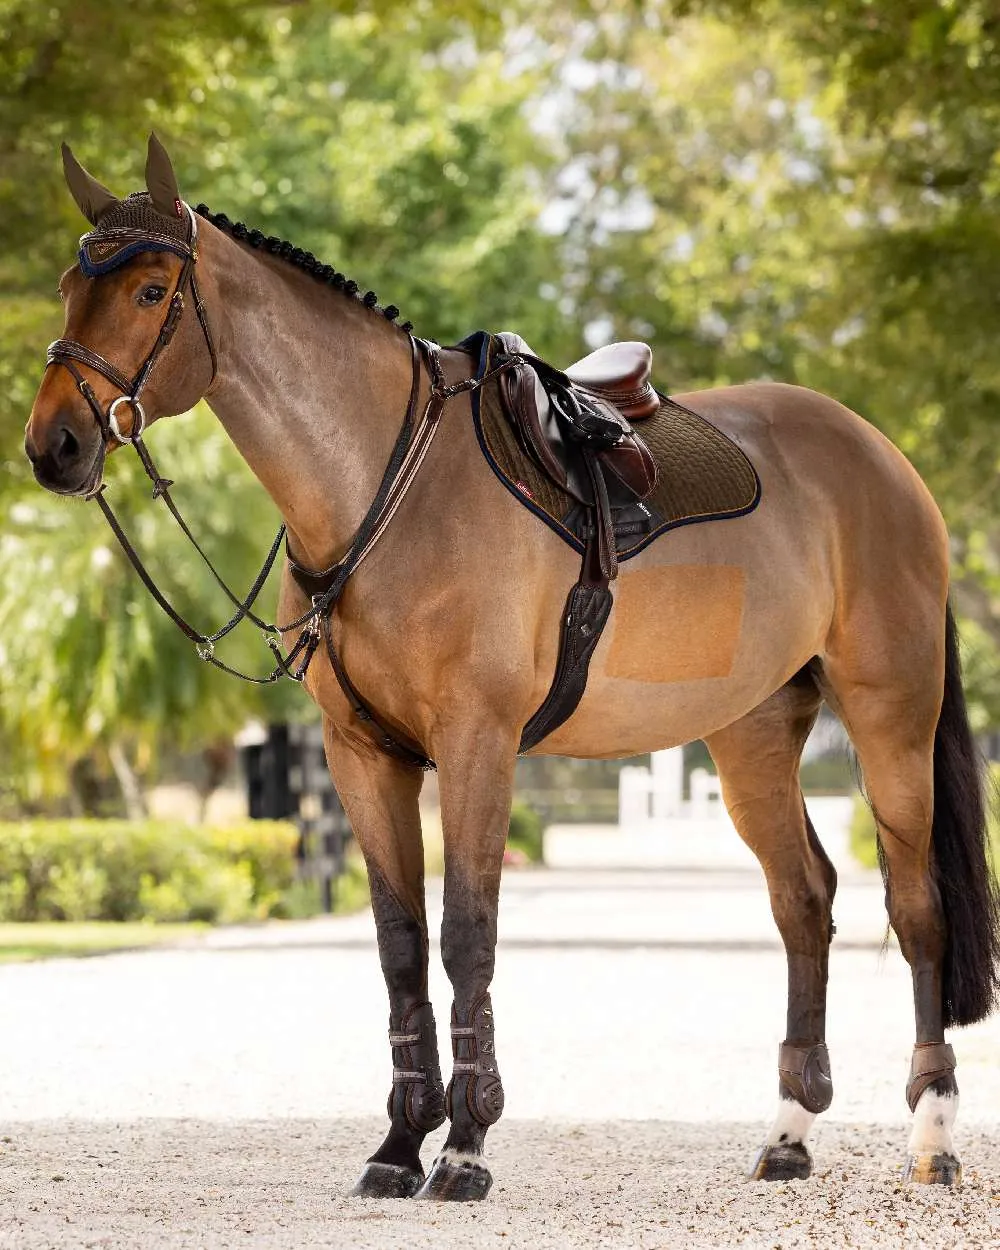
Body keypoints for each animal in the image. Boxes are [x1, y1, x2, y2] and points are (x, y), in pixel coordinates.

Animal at [23, 139, 1000, 1200]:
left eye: (151, 289)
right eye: (71, 284)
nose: (52, 445)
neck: (387, 485)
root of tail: (884, 458)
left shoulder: (477, 743)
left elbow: (467, 933)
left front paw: (464, 1147)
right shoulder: (361, 755)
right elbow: (401, 945)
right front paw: (396, 1146)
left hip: (890, 716)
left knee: (916, 909)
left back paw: (933, 1134)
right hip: (752, 737)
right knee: (804, 901)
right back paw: (788, 1133)